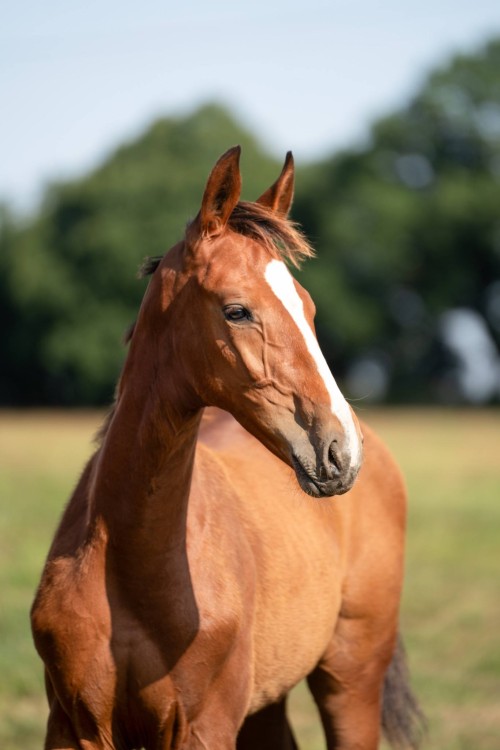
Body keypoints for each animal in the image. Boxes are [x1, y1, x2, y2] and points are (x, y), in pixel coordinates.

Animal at [31, 147, 422, 750]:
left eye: (309, 308)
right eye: (237, 310)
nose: (341, 451)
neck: (129, 570)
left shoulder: (204, 727)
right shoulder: (75, 728)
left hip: (351, 680)